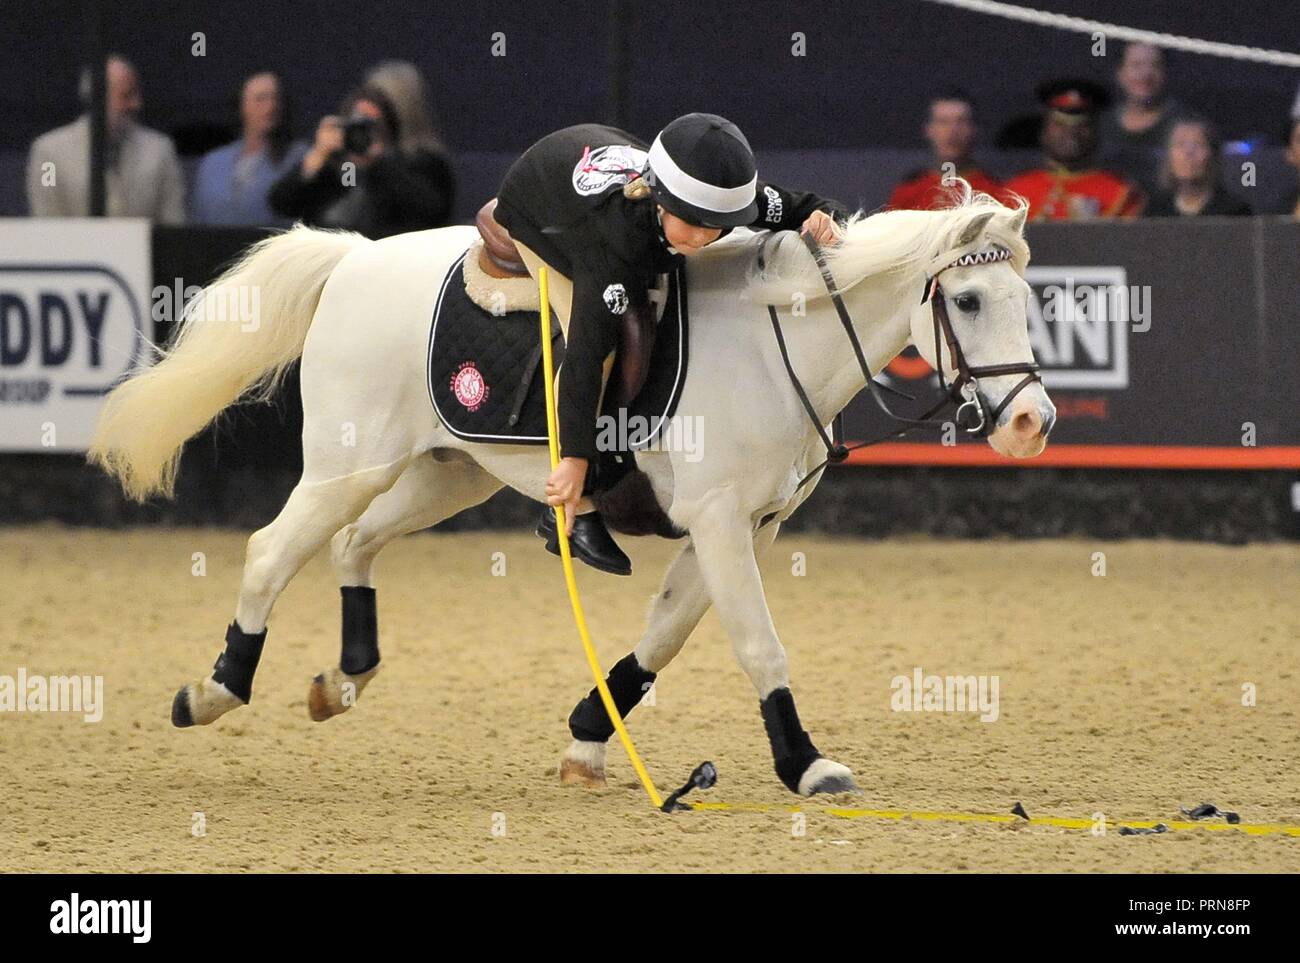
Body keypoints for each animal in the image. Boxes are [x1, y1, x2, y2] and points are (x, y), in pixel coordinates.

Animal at [91, 184, 1050, 790]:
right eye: (967, 300)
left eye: (1028, 297)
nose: (1031, 423)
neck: (775, 344)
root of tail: (355, 260)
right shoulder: (720, 522)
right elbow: (759, 646)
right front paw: (805, 763)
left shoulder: (749, 526)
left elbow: (663, 638)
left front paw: (590, 737)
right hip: (346, 465)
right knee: (269, 552)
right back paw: (214, 688)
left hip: (444, 476)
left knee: (353, 545)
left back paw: (342, 677)